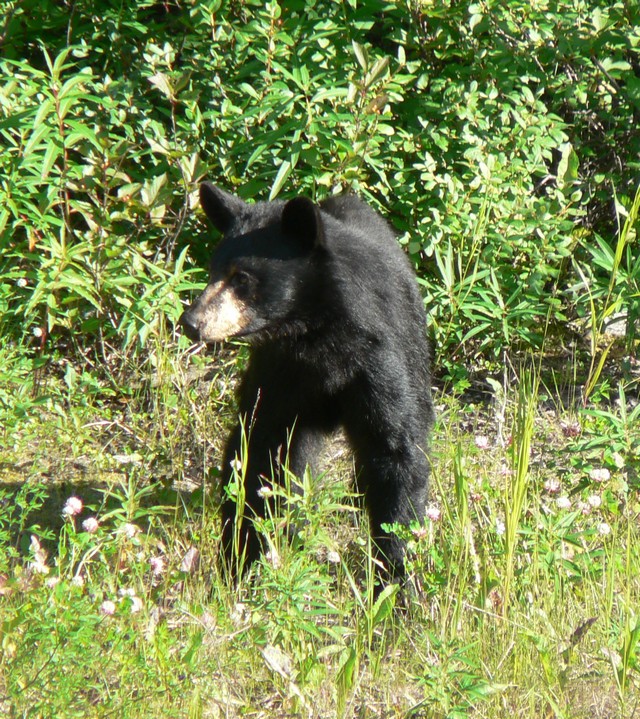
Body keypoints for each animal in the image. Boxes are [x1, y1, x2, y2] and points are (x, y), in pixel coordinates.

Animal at [179, 183, 436, 584]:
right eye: (212, 271)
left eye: (242, 278)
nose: (192, 322)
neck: (317, 335)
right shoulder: (280, 369)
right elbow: (261, 449)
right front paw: (243, 558)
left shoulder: (380, 354)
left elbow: (396, 448)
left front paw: (395, 577)